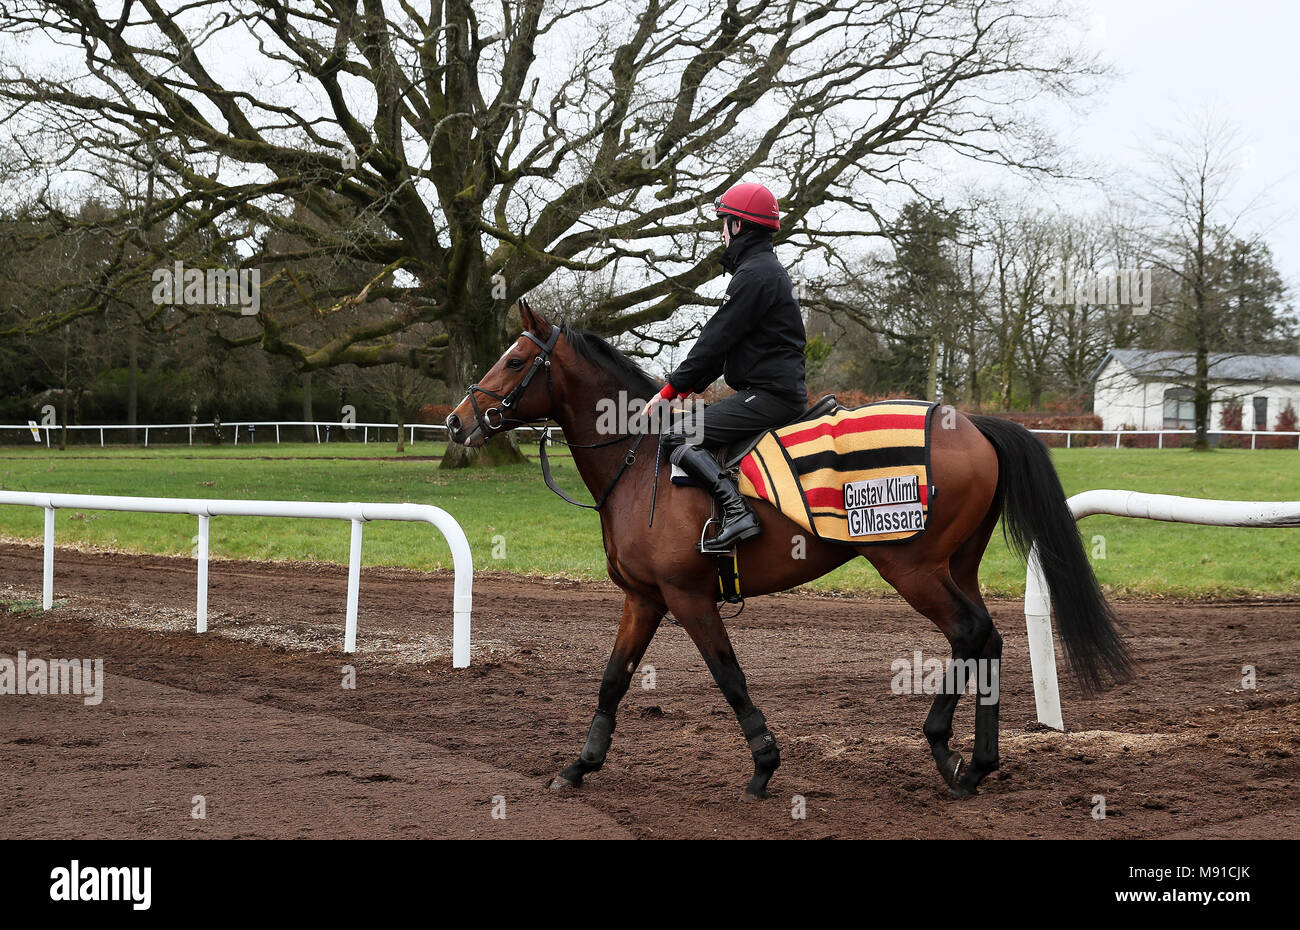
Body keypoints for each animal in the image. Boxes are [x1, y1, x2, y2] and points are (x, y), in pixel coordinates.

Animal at [444, 304, 1128, 801]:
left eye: (513, 361)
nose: (455, 422)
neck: (641, 465)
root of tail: (971, 421)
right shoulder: (644, 598)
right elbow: (614, 679)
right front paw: (579, 766)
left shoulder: (688, 598)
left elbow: (729, 676)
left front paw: (764, 766)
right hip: (955, 566)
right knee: (985, 639)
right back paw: (975, 765)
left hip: (911, 567)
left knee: (970, 633)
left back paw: (944, 747)